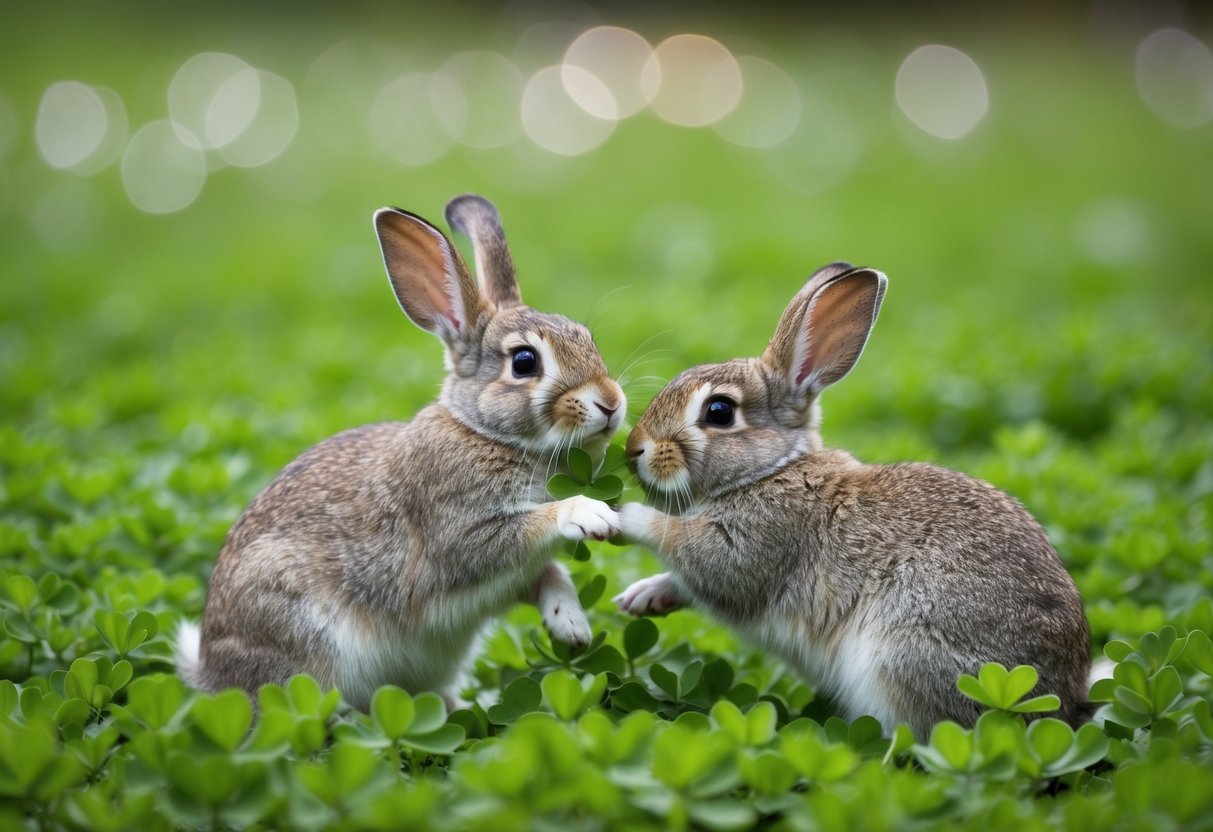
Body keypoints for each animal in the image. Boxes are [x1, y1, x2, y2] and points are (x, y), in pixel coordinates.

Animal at [177, 194, 625, 711]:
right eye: (524, 362)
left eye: (588, 338)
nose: (611, 403)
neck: (485, 433)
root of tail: (211, 674)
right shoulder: (458, 534)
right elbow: (531, 525)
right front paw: (590, 514)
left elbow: (551, 572)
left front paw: (571, 627)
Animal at [613, 263, 1090, 738]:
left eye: (719, 411)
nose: (634, 449)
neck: (771, 469)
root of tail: (1063, 702)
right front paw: (643, 596)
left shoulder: (756, 542)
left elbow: (686, 545)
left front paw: (621, 515)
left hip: (906, 657)